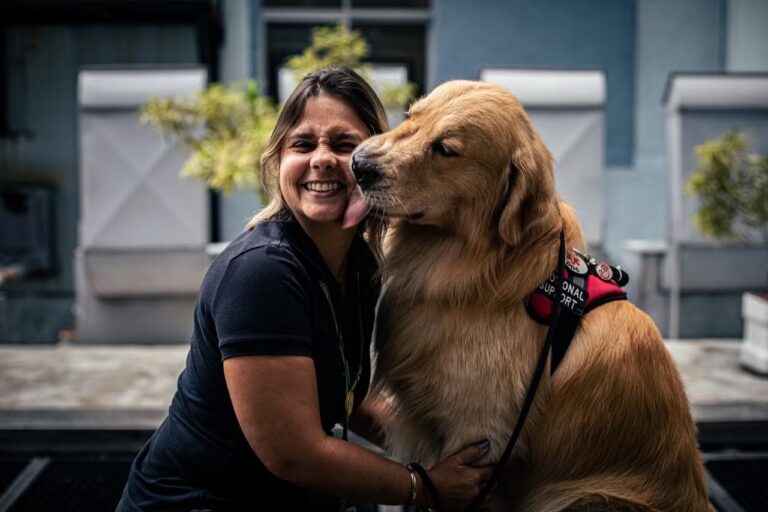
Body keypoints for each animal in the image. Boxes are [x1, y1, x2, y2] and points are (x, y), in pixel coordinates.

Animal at [352, 82, 712, 510]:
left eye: (446, 149)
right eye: (410, 117)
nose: (359, 165)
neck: (478, 270)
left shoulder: (480, 435)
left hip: (578, 498)